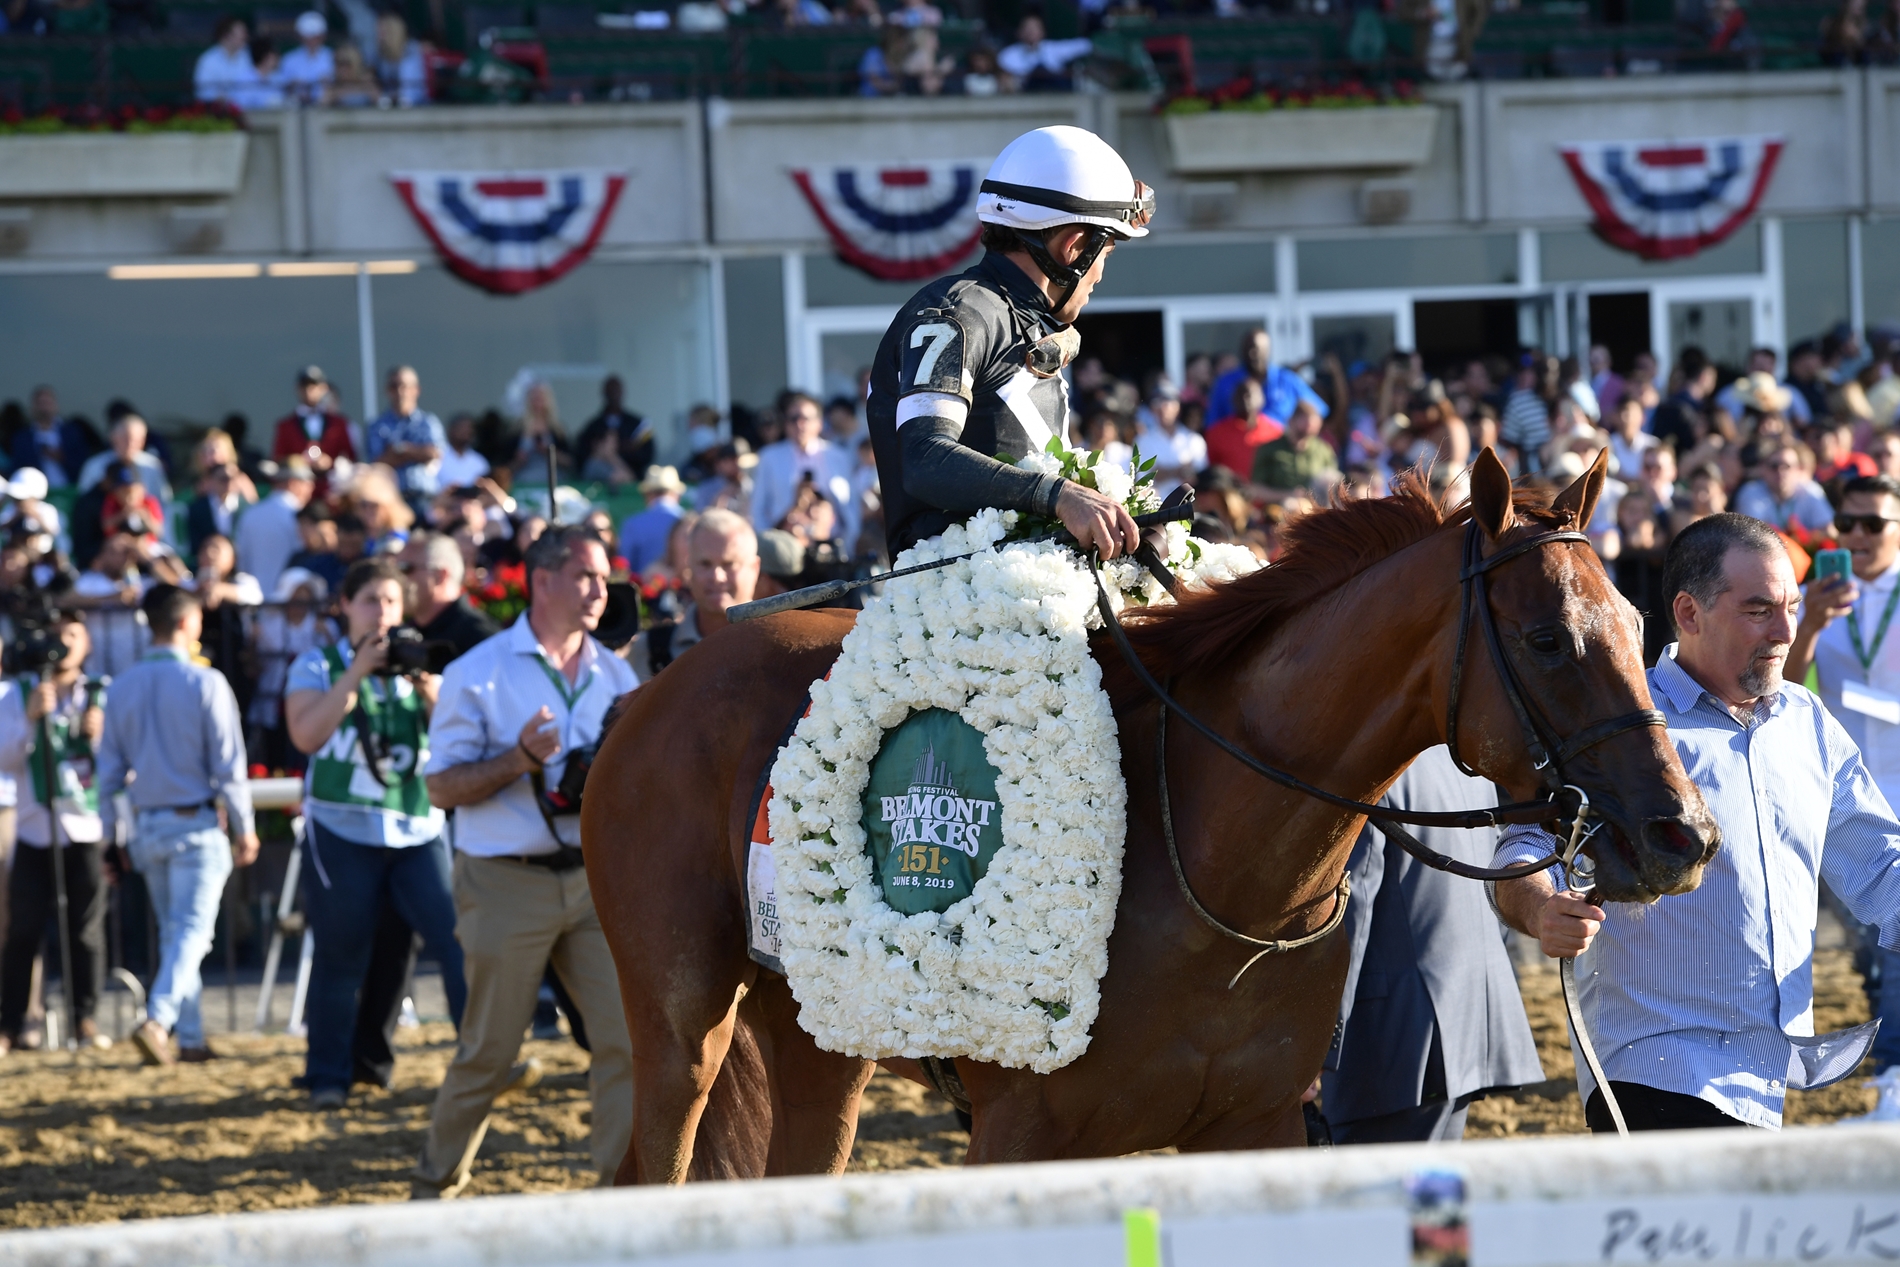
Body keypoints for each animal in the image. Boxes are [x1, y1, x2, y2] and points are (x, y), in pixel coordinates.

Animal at [581, 450, 1725, 1185]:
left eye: (1636, 618)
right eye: (1545, 638)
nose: (1684, 834)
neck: (1216, 874)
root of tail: (652, 686)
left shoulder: (1255, 1123)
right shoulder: (1019, 1134)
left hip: (823, 1026)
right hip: (682, 1023)